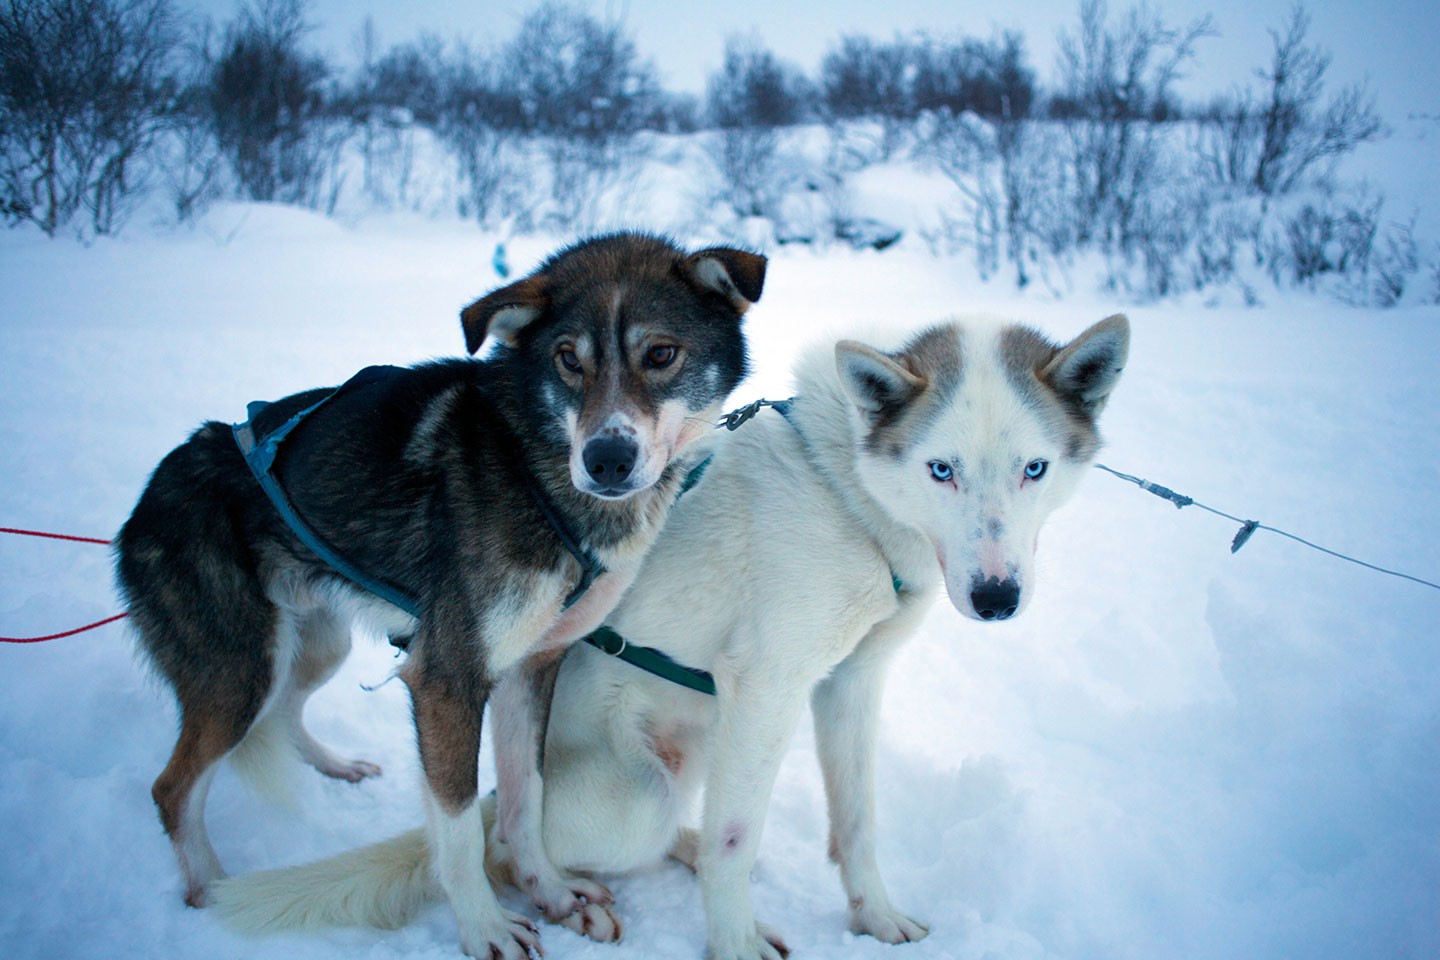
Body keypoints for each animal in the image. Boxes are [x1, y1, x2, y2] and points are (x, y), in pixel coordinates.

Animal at [216, 315, 1123, 960]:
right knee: (507, 849)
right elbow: (735, 841)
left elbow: (858, 821)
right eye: (941, 469)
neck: (846, 494)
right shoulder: (767, 690)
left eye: (1034, 469)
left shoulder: (848, 686)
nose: (997, 597)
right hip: (637, 793)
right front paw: (734, 943)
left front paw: (875, 918)